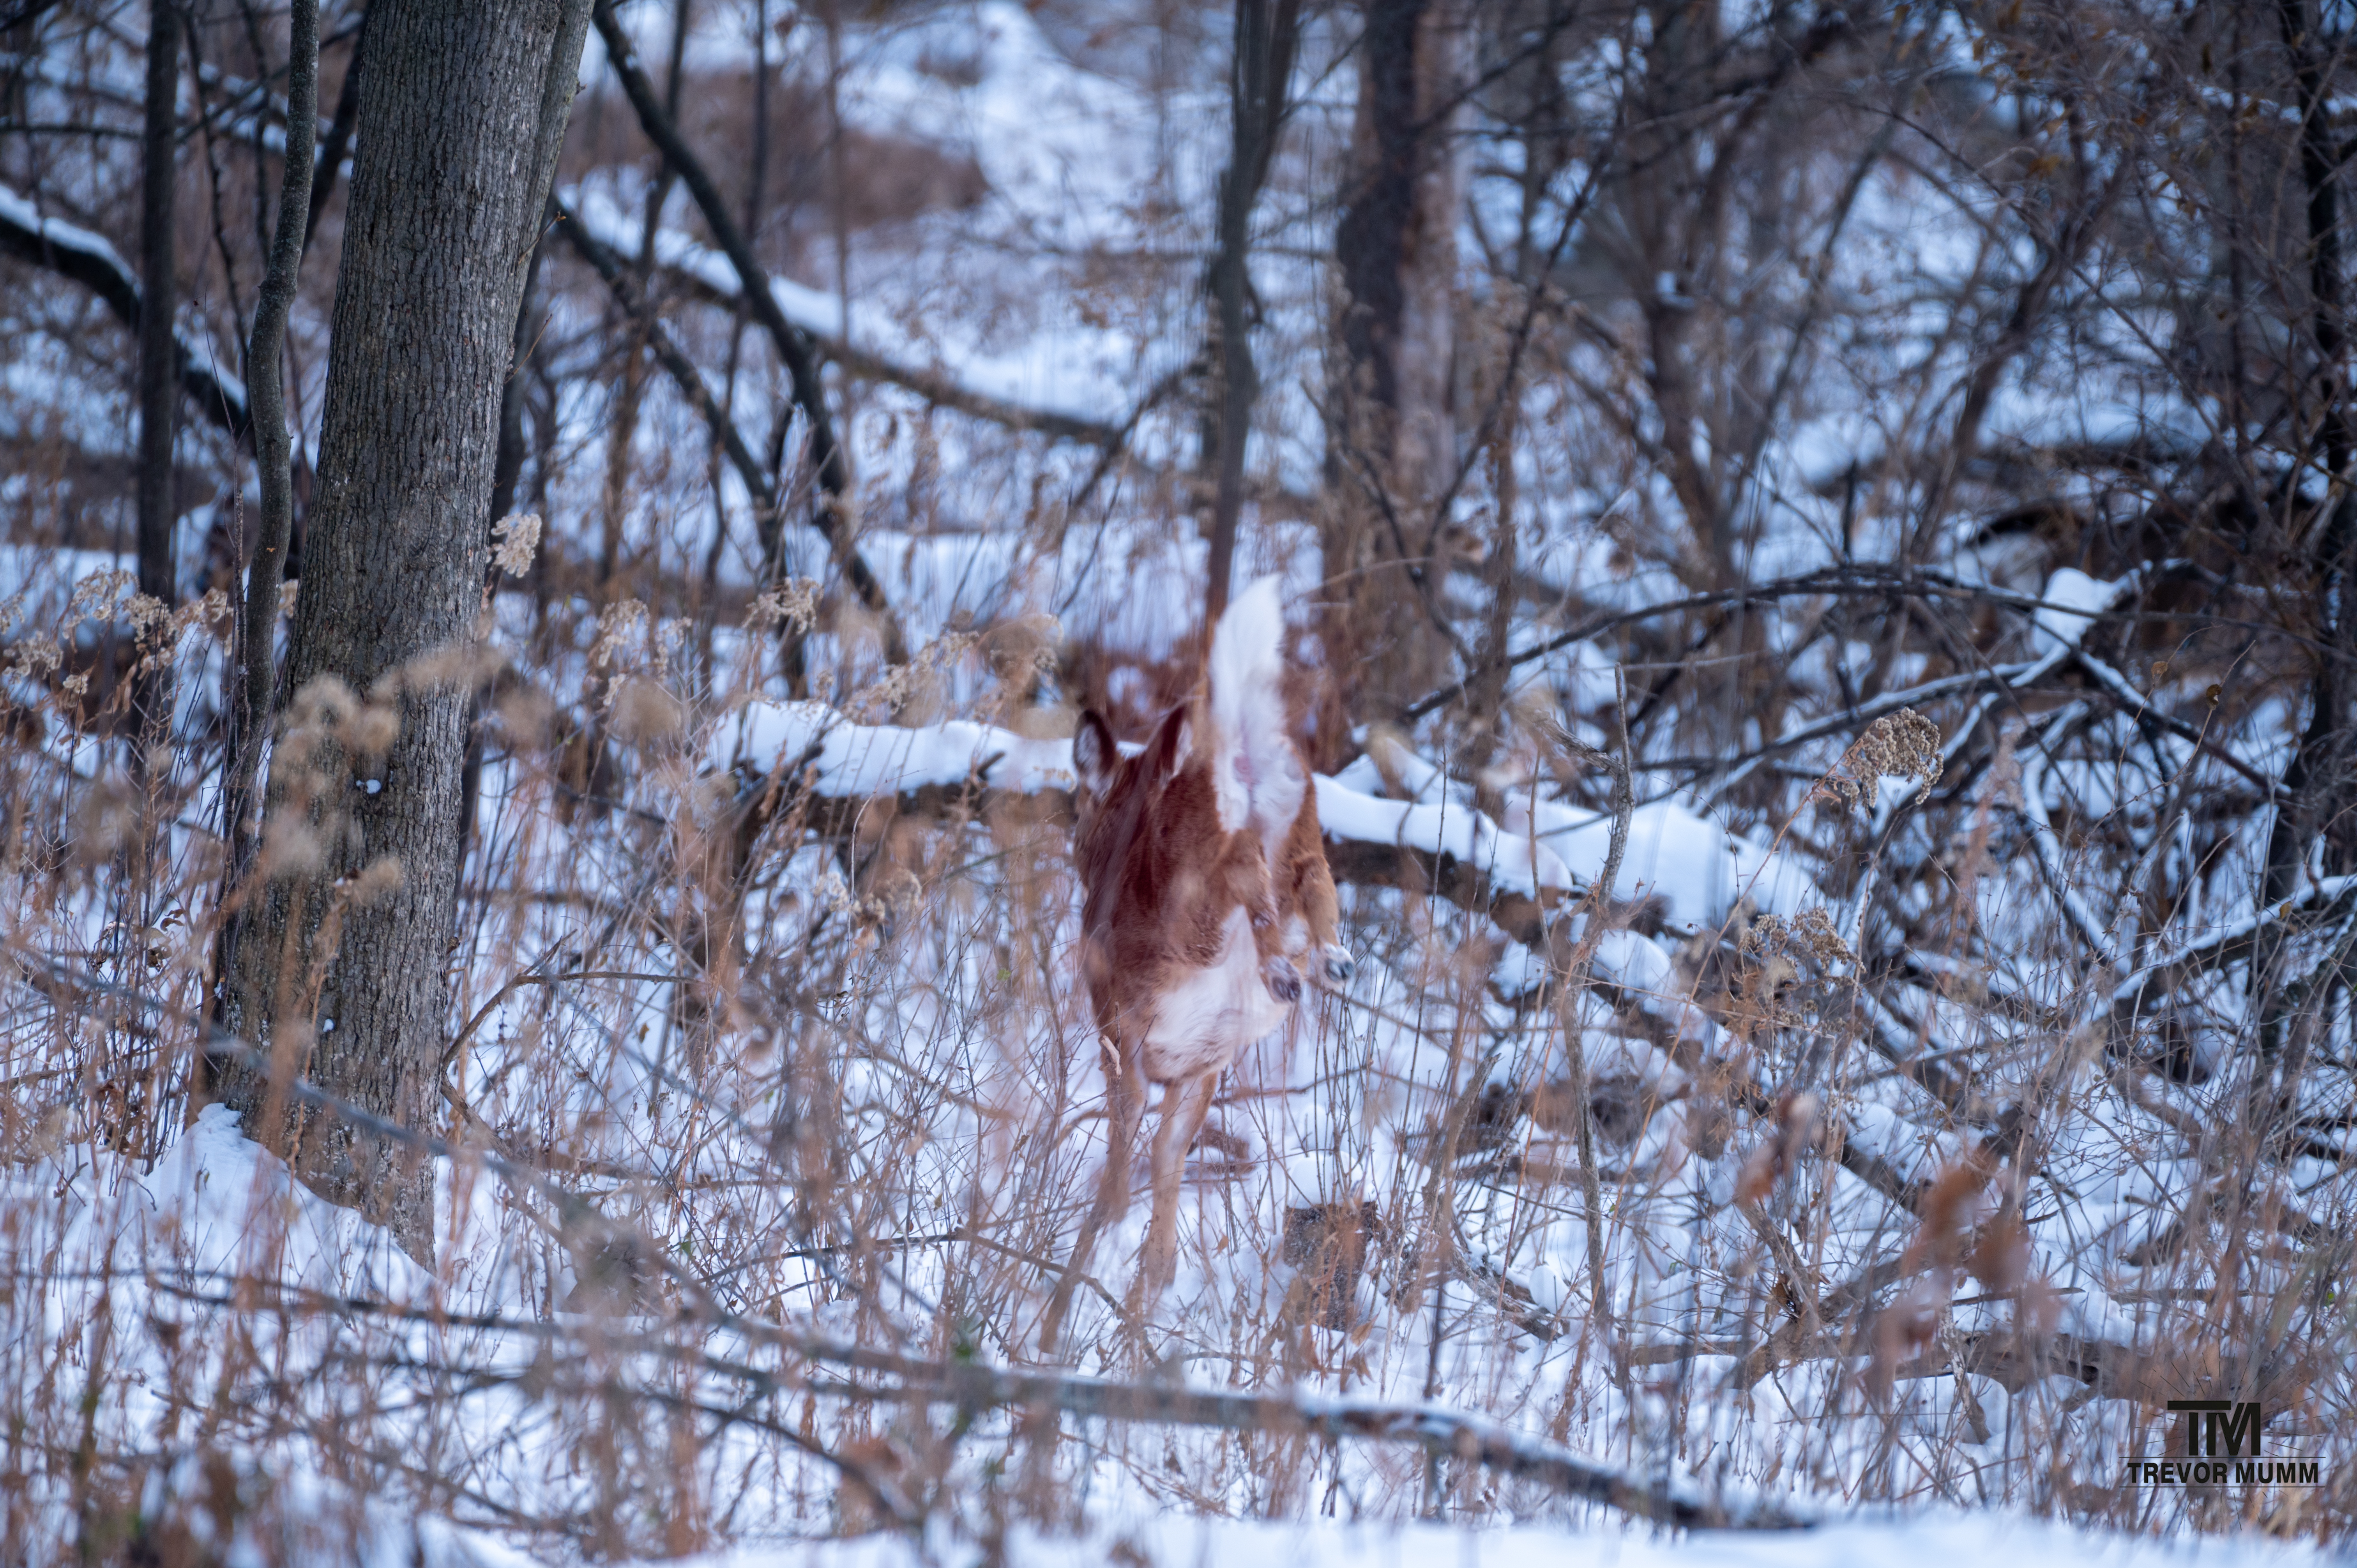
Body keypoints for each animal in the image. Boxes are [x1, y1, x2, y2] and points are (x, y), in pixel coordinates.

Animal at [1037, 576, 1353, 1352]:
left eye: (1078, 809)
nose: (1076, 838)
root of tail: (1233, 750)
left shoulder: (1122, 1036)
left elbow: (1128, 1156)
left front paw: (1107, 1239)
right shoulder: (1200, 1067)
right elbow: (1169, 1161)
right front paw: (1149, 1279)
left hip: (1195, 895)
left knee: (1244, 874)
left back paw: (1286, 969)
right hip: (1304, 827)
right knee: (1310, 885)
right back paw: (1326, 963)